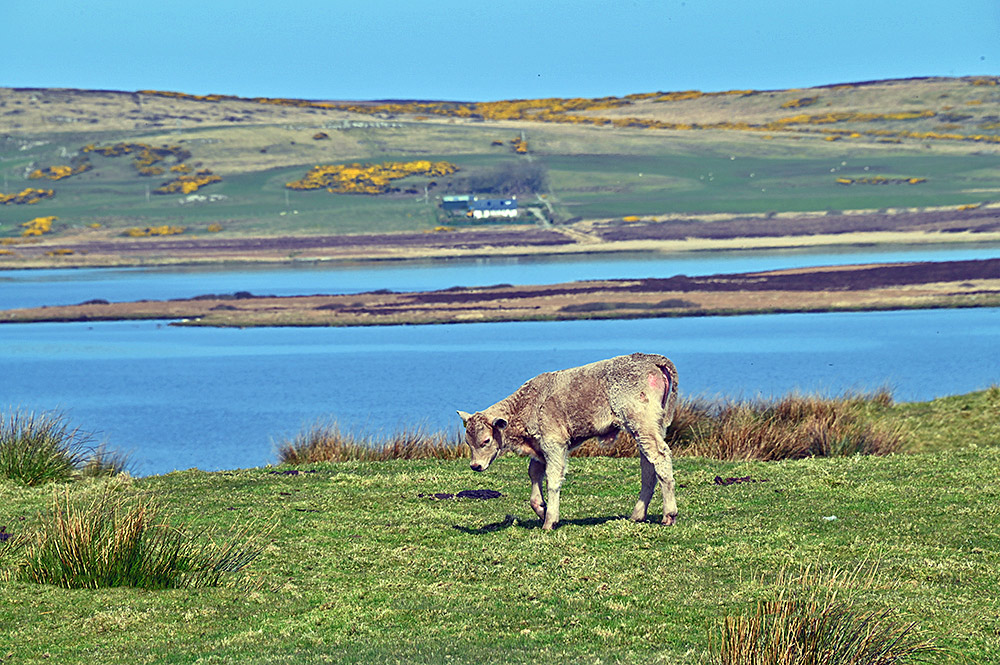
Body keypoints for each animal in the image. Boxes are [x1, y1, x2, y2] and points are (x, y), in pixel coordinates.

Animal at [457, 353, 679, 530]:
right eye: (468, 442)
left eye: (486, 441)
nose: (475, 466)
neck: (528, 403)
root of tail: (650, 358)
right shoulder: (539, 448)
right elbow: (534, 473)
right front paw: (541, 508)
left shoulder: (554, 443)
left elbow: (553, 478)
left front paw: (550, 521)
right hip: (648, 429)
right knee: (648, 465)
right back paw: (637, 515)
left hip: (642, 424)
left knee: (660, 457)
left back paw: (669, 515)